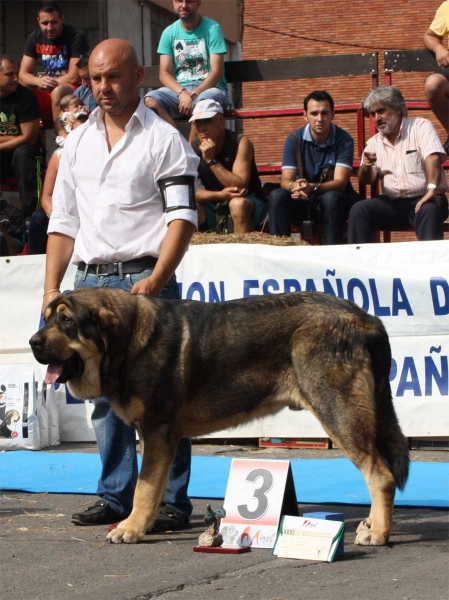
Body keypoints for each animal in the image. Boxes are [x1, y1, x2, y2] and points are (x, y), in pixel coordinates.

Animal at [29, 288, 410, 548]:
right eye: (47, 318)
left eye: (67, 321)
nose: (33, 342)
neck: (127, 343)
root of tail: (367, 319)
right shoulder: (160, 438)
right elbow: (153, 487)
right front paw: (144, 523)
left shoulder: (157, 431)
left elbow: (144, 488)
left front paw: (130, 528)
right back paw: (373, 525)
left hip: (338, 411)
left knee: (380, 475)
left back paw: (378, 532)